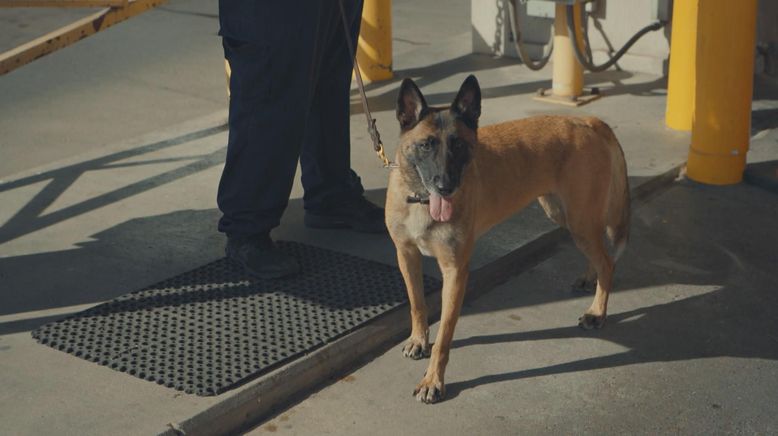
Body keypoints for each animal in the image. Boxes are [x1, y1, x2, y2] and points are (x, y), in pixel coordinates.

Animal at [384, 74, 628, 402]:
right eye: (425, 146)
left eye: (459, 145)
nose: (446, 186)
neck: (421, 200)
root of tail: (586, 121)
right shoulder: (406, 256)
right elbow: (417, 305)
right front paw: (419, 340)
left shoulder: (455, 273)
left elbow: (445, 336)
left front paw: (433, 379)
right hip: (567, 216)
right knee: (599, 255)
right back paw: (591, 279)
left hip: (579, 220)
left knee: (608, 263)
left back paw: (597, 312)